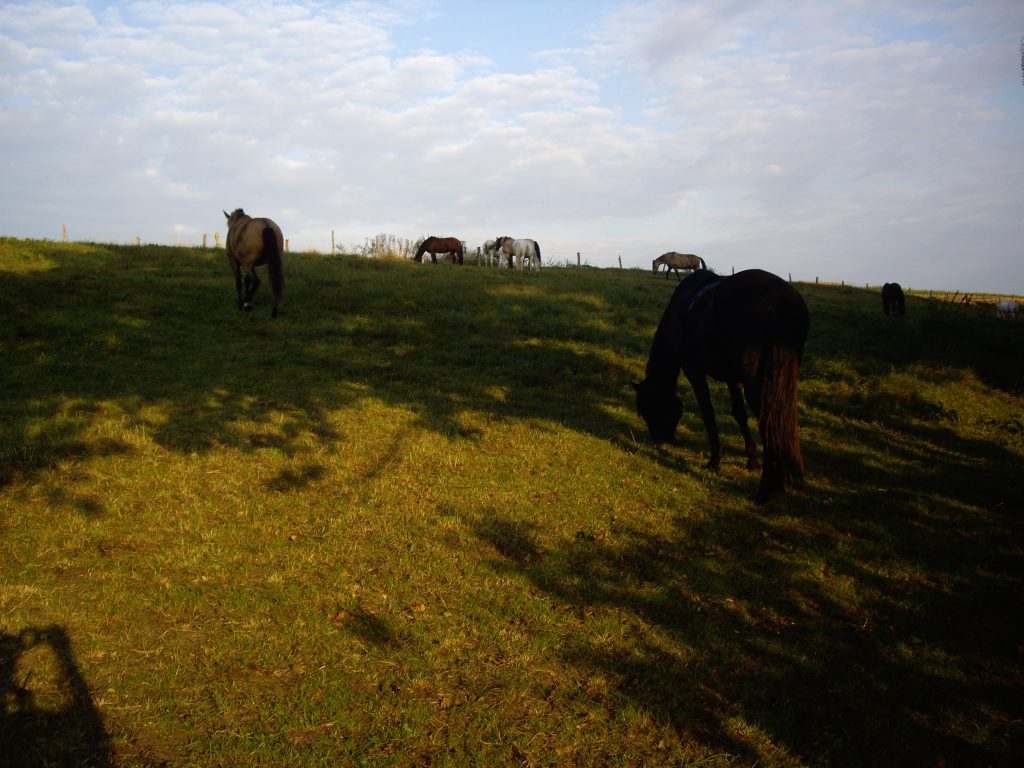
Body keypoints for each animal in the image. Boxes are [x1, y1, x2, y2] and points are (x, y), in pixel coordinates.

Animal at [630, 270, 806, 505]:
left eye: (647, 411)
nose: (661, 440)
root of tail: (782, 301)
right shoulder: (733, 377)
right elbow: (739, 414)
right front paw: (751, 459)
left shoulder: (694, 370)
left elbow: (708, 412)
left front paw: (714, 460)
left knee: (768, 422)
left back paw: (764, 491)